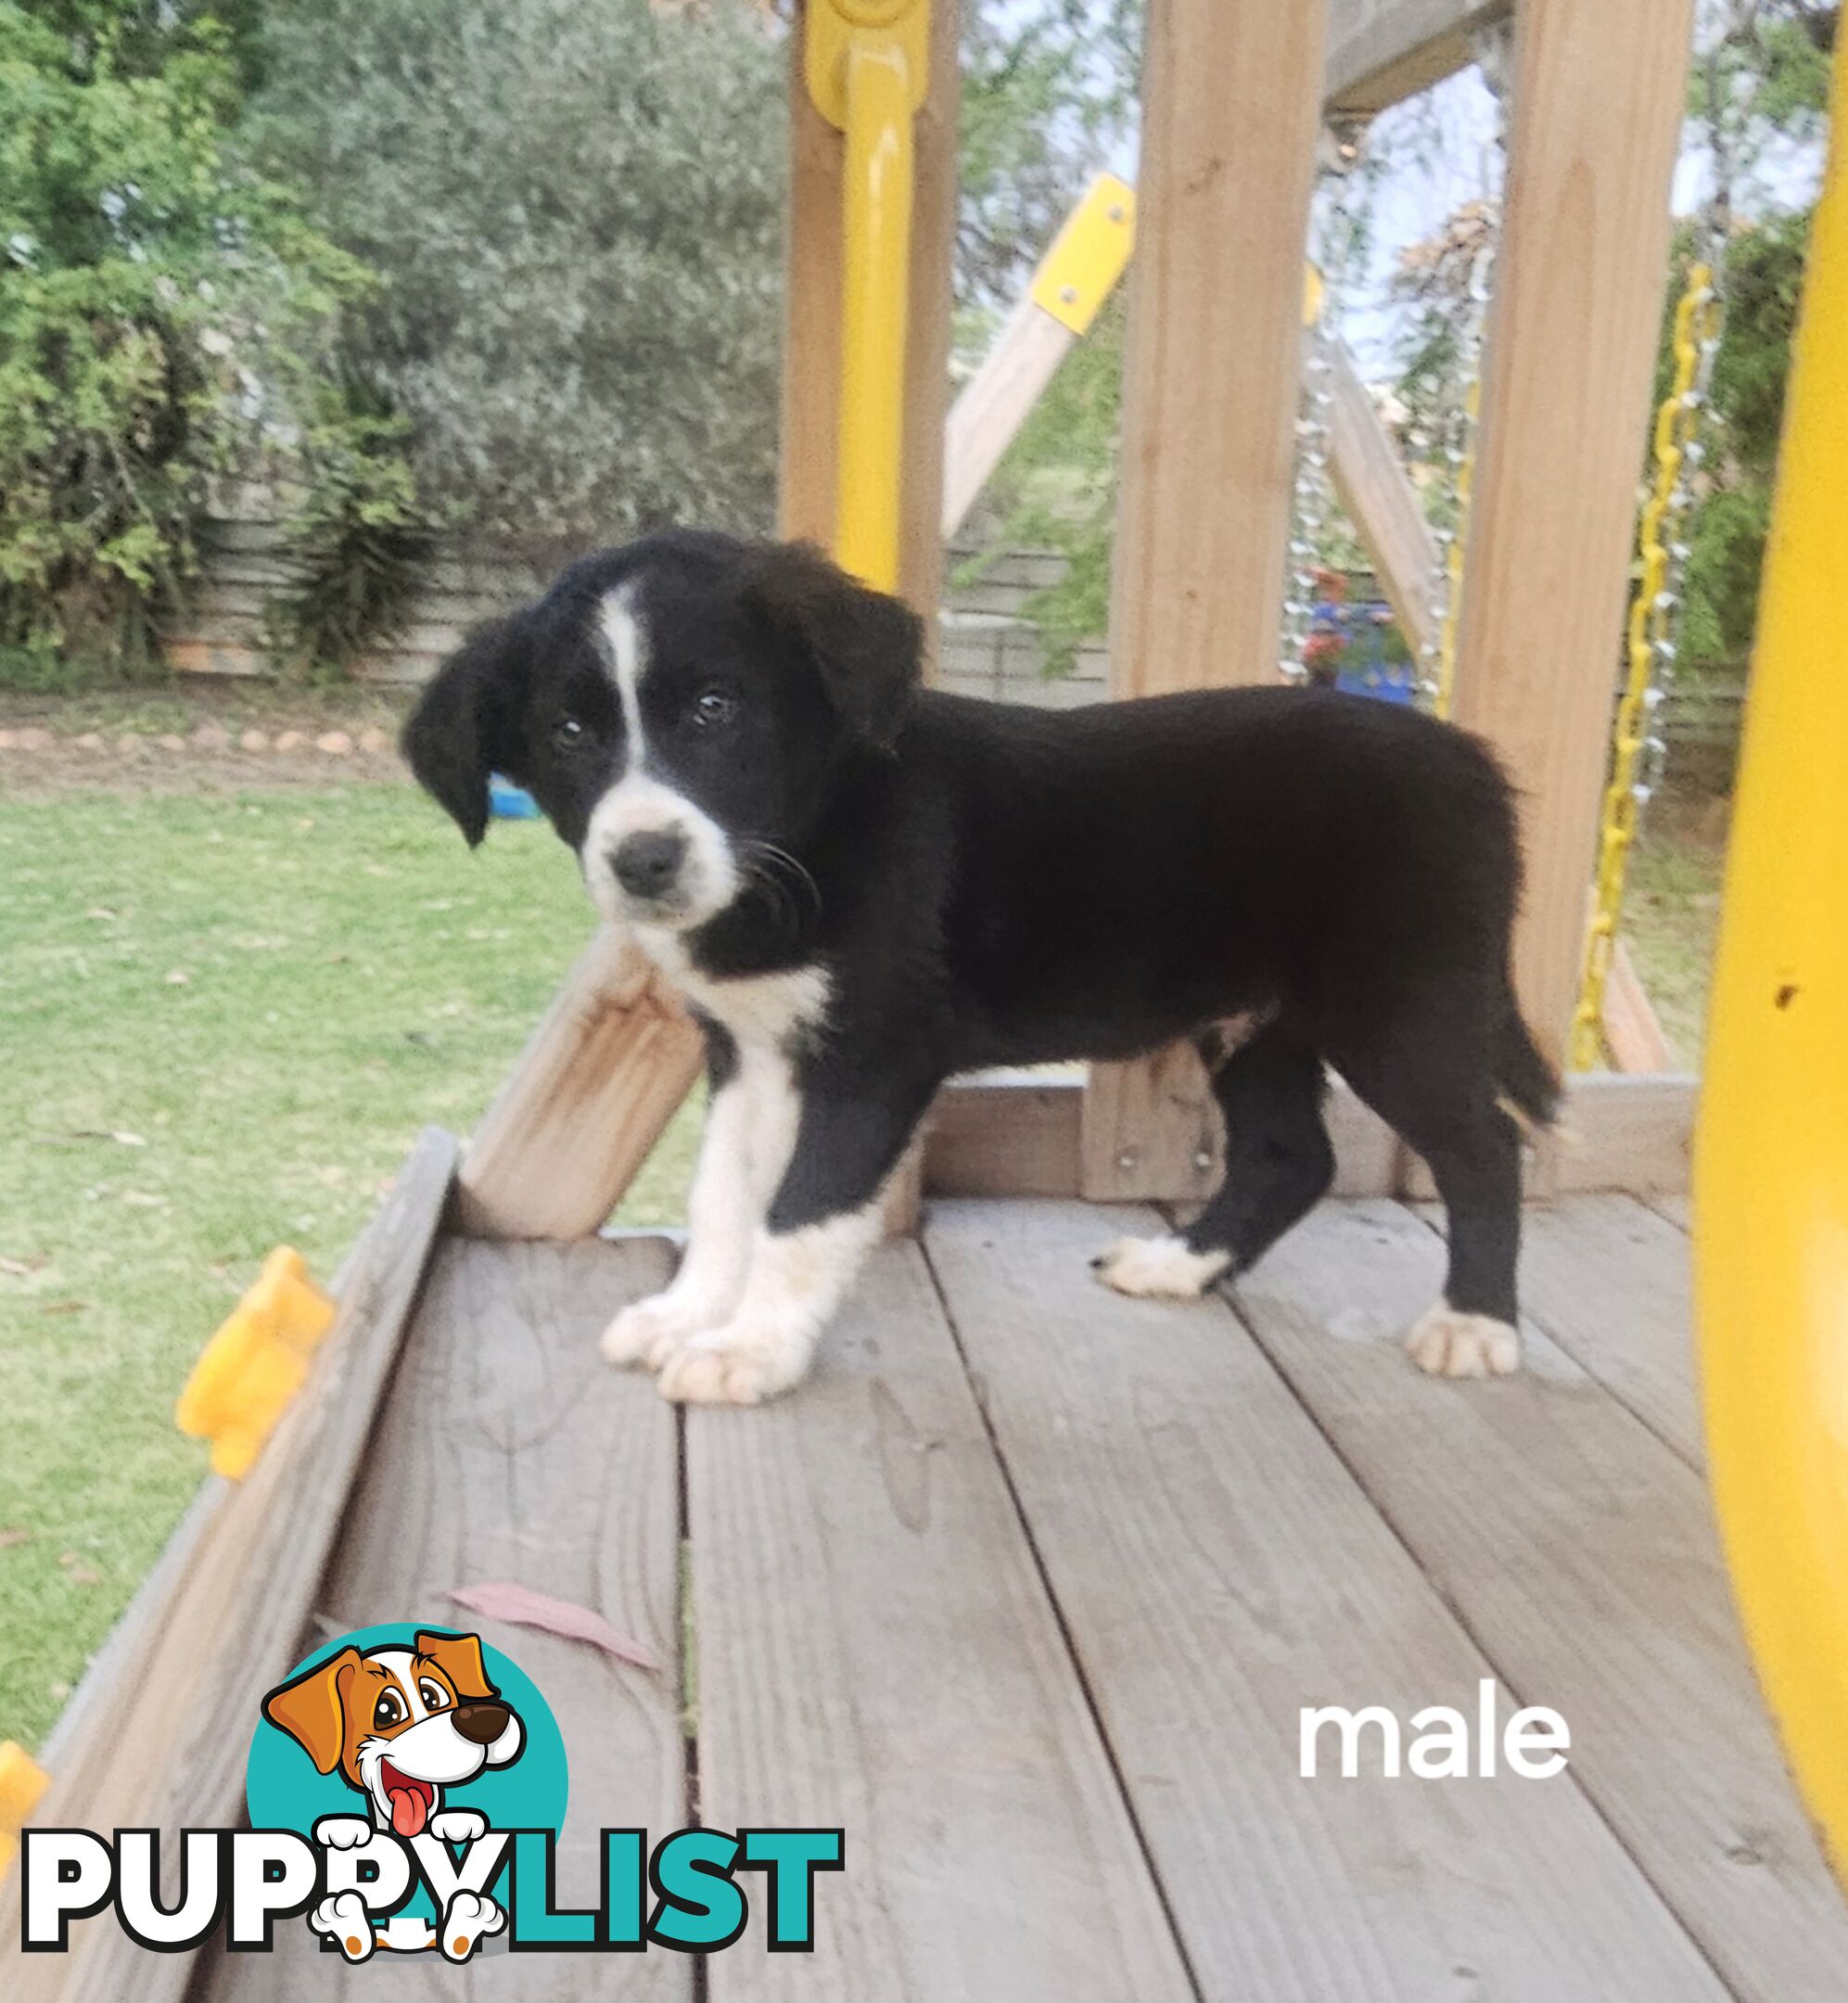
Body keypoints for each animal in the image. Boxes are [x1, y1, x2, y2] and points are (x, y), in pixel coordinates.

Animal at [408, 532, 1561, 1410]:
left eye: (713, 709)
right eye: (567, 733)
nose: (643, 860)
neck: (814, 838)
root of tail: (1473, 762)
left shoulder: (872, 1062)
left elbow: (801, 1210)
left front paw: (750, 1349)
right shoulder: (750, 1050)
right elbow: (724, 1194)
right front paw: (693, 1313)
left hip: (1403, 1008)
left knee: (1485, 1149)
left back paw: (1474, 1323)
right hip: (1256, 1021)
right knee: (1291, 1158)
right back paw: (1176, 1266)